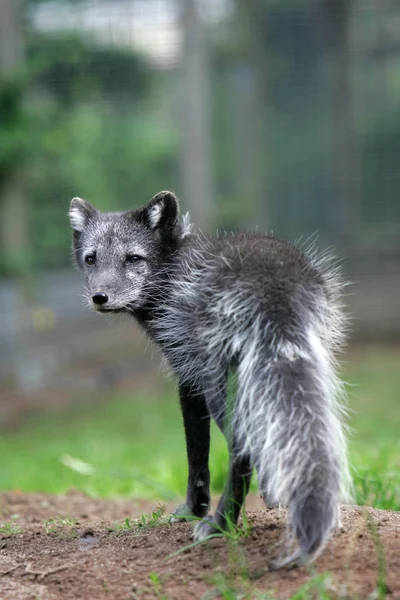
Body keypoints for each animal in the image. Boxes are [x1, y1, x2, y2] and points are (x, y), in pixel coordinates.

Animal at [69, 191, 350, 568]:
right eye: (91, 258)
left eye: (133, 258)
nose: (100, 297)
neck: (175, 269)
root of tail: (272, 283)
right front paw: (274, 495)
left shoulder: (188, 377)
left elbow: (196, 456)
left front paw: (193, 510)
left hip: (220, 388)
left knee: (240, 449)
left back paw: (220, 525)